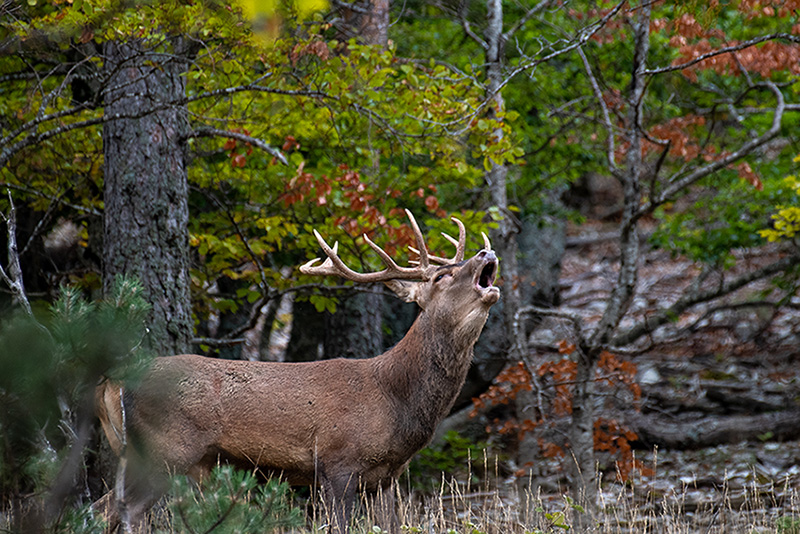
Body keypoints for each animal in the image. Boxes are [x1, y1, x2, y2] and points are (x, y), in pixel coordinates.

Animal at [95, 210, 500, 533]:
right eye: (440, 278)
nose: (486, 251)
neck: (394, 398)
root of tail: (110, 383)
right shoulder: (337, 461)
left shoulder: (387, 478)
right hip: (165, 449)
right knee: (116, 511)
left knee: (105, 508)